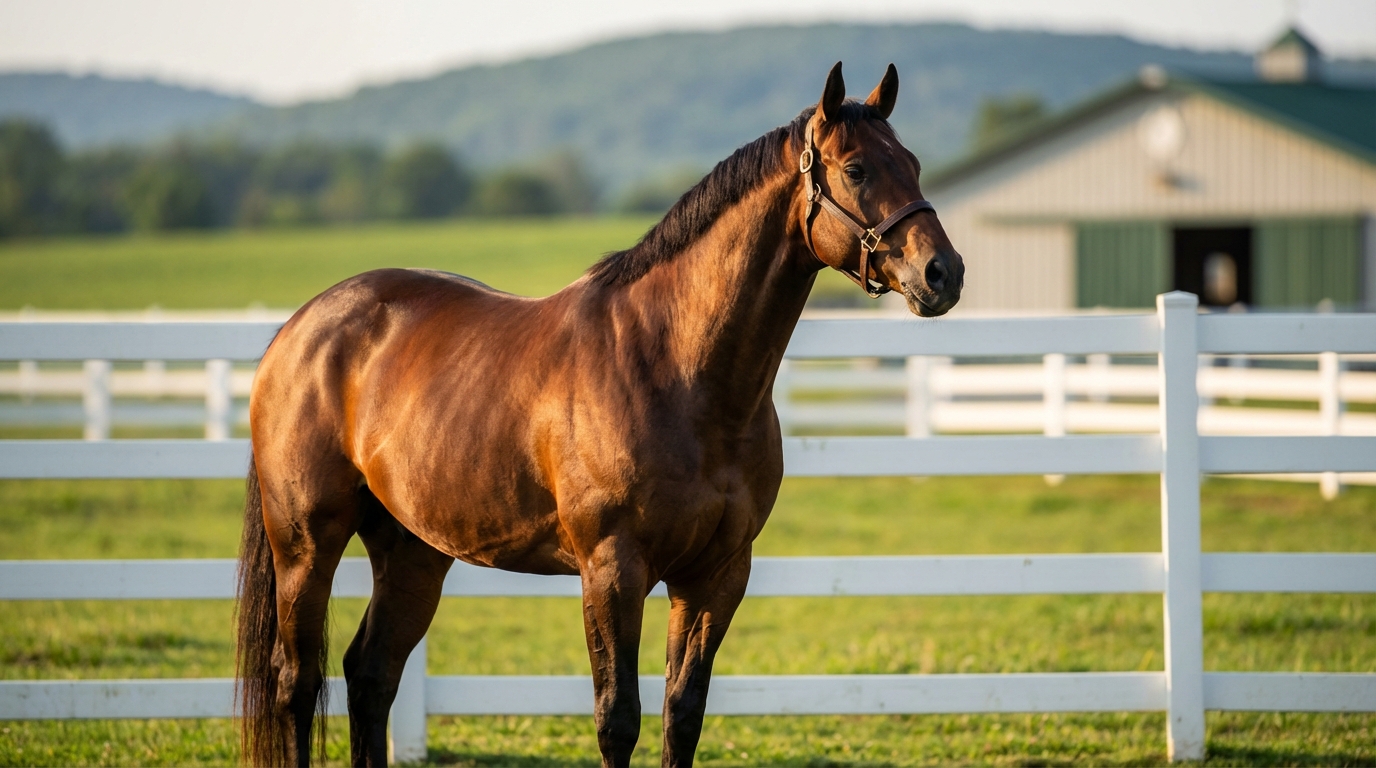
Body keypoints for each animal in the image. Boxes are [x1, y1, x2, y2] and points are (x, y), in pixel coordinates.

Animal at [236, 61, 963, 768]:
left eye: (914, 163)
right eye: (856, 168)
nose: (943, 273)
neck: (679, 371)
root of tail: (299, 330)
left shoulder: (717, 574)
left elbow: (682, 715)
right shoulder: (613, 570)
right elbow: (618, 720)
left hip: (413, 551)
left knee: (371, 676)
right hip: (306, 544)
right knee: (297, 683)